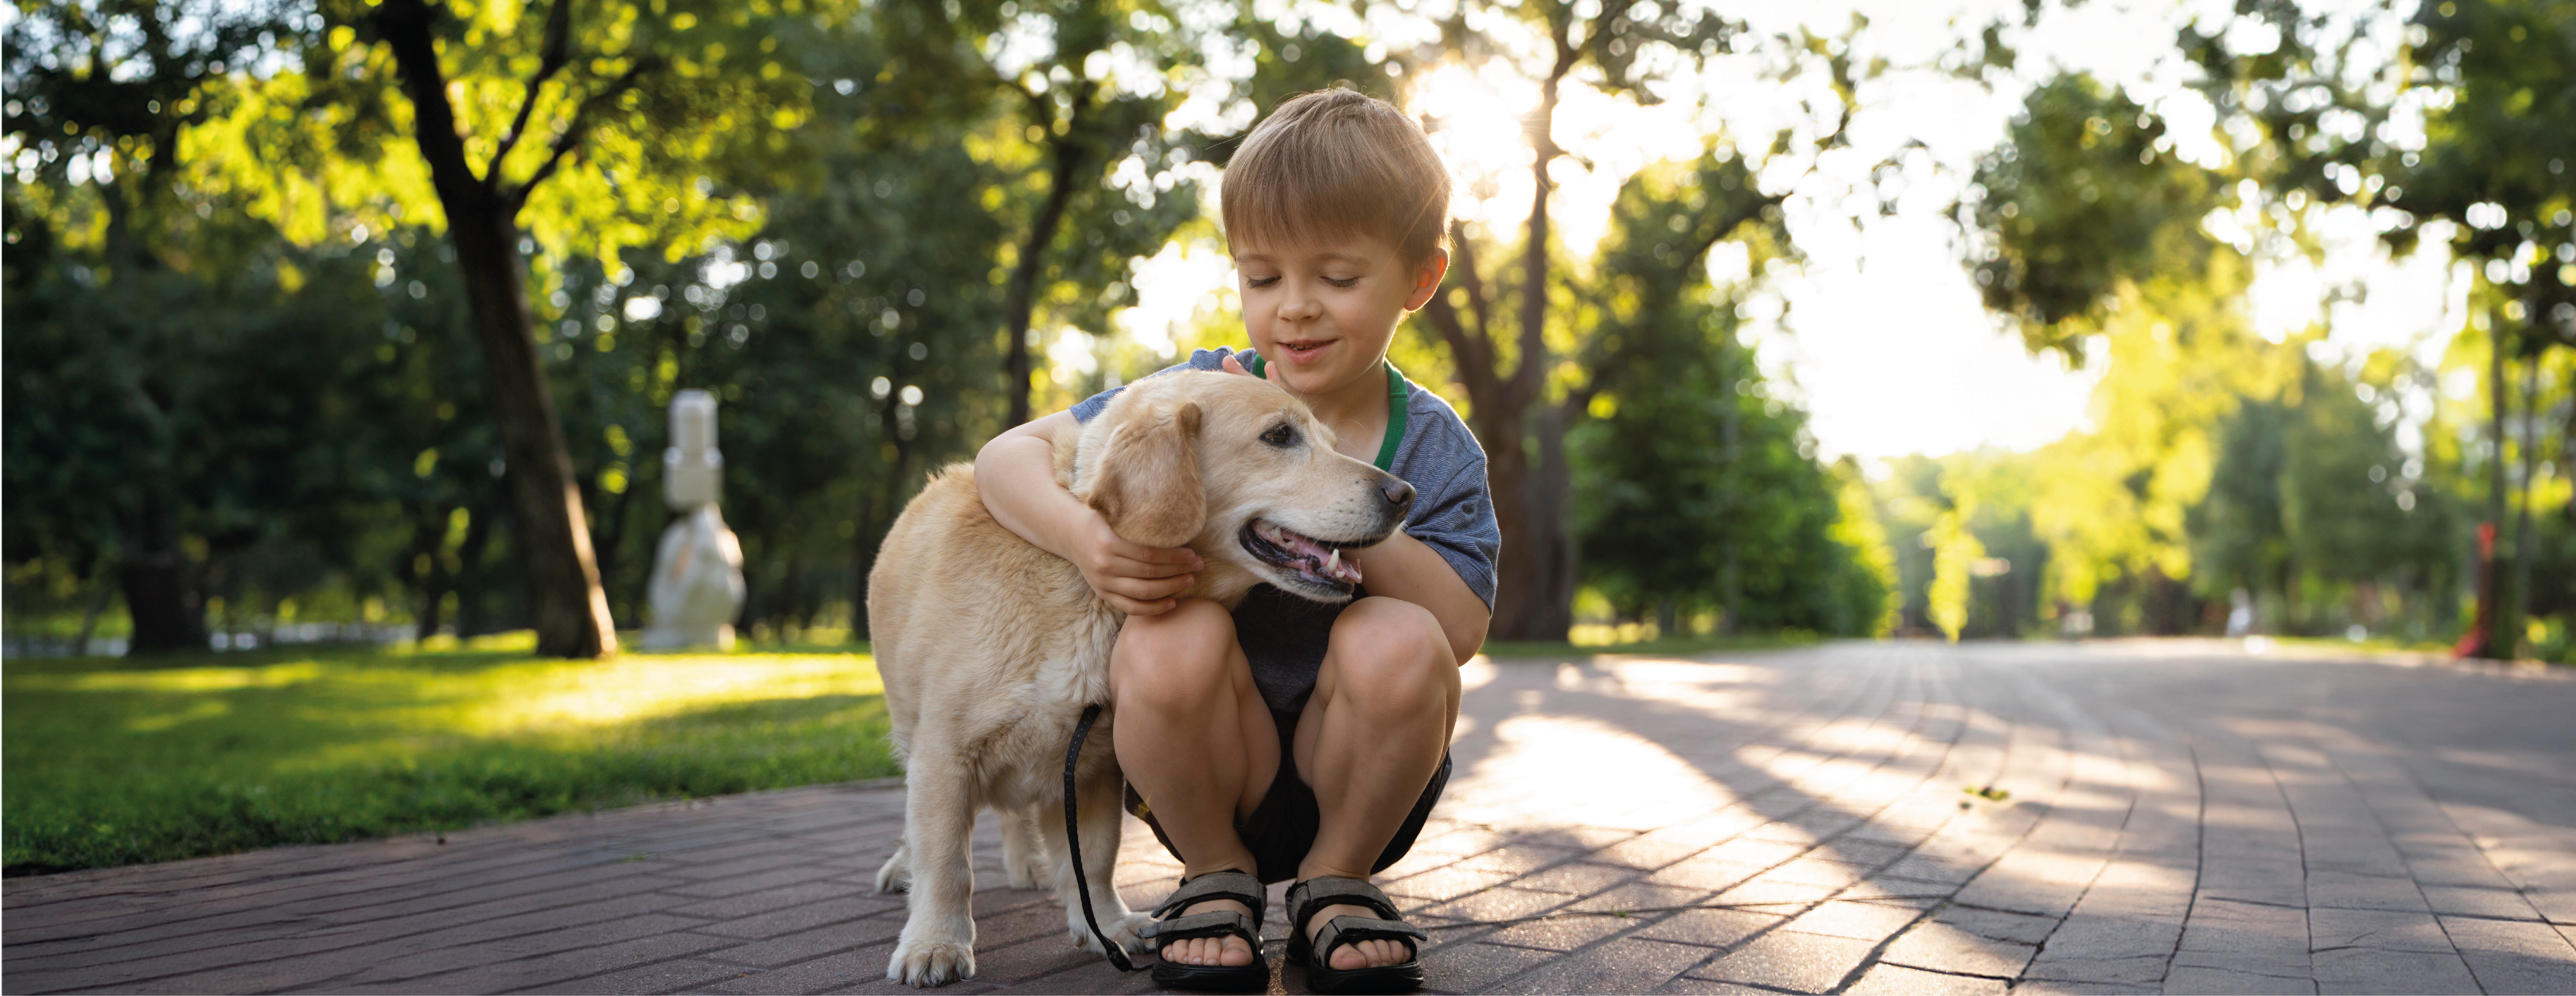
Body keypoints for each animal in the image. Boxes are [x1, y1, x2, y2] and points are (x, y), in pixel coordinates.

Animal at [875, 370, 1422, 988]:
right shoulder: (945, 755)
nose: (1404, 496)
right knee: (920, 833)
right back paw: (903, 870)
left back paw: (1029, 865)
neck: (1086, 590)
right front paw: (935, 944)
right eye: (1280, 436)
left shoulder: (1089, 767)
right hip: (911, 735)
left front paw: (1106, 927)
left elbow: (1092, 860)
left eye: (1330, 440)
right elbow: (947, 863)